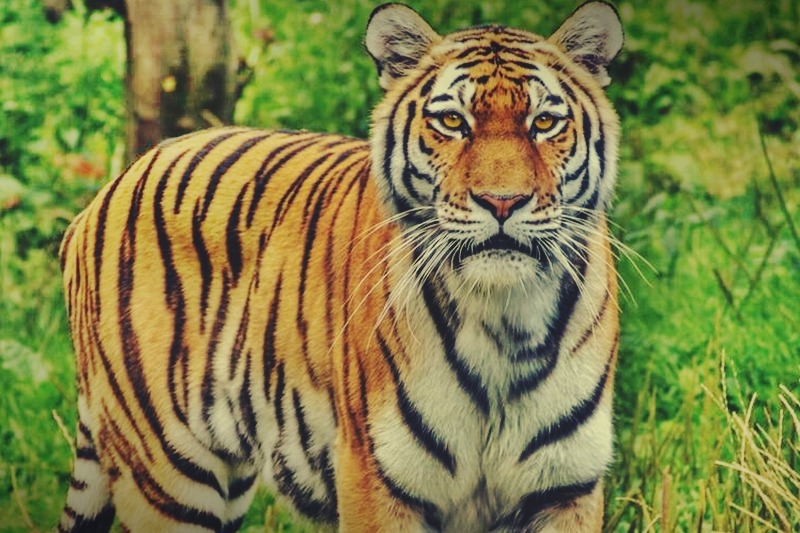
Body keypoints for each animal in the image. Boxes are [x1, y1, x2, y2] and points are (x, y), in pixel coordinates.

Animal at [57, 2, 623, 532]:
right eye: (452, 122)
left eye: (544, 123)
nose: (502, 202)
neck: (507, 325)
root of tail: (108, 190)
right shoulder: (377, 482)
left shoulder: (566, 488)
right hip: (170, 475)